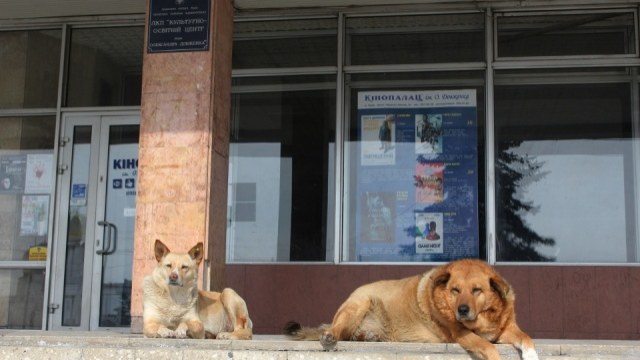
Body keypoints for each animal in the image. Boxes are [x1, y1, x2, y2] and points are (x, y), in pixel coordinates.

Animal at [288, 258, 536, 360]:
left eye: (477, 290)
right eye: (455, 290)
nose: (463, 310)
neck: (484, 318)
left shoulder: (506, 329)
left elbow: (527, 338)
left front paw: (531, 355)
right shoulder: (462, 334)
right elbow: (489, 347)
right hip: (359, 304)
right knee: (336, 330)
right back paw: (330, 336)